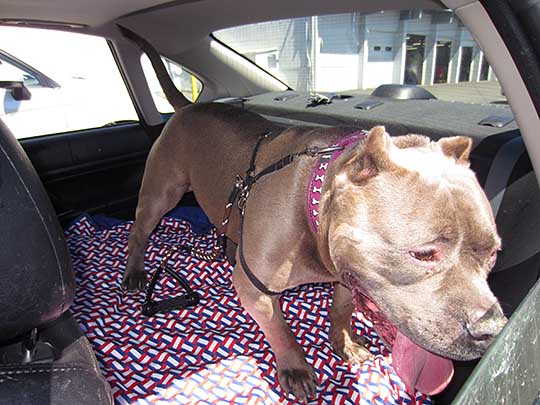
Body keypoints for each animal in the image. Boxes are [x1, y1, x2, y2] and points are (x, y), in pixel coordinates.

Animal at [120, 27, 508, 400]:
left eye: (493, 254)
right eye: (423, 254)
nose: (490, 330)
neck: (315, 210)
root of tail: (191, 106)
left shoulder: (347, 275)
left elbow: (342, 308)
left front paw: (345, 341)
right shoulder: (255, 289)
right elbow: (280, 329)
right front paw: (296, 368)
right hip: (162, 192)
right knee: (140, 230)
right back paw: (135, 271)